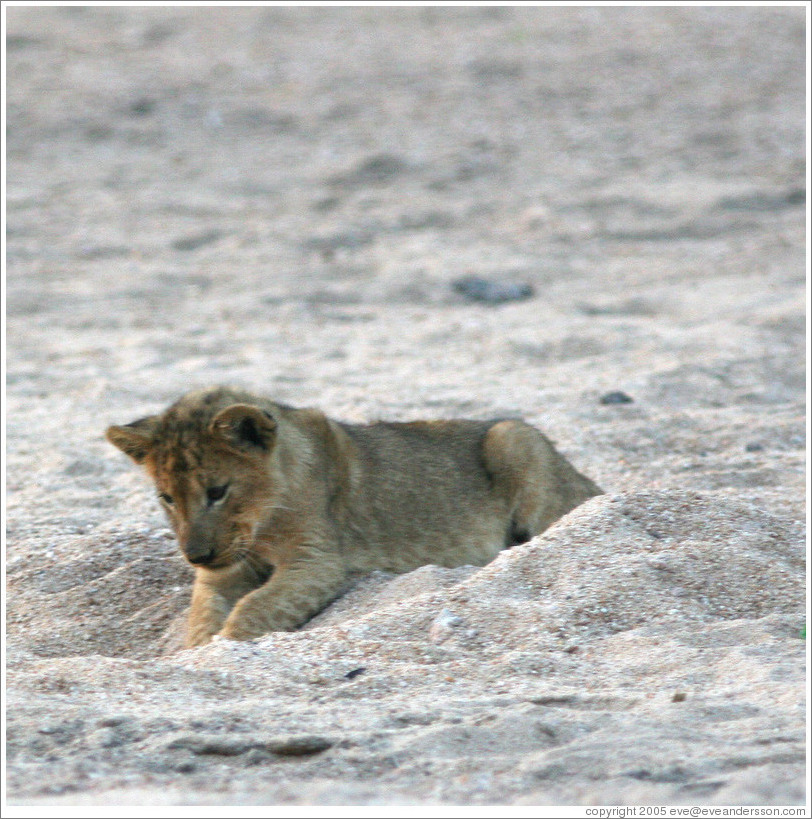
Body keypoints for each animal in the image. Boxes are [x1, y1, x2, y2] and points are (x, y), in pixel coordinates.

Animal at [106, 387, 602, 646]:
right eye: (167, 498)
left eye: (217, 492)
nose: (196, 556)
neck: (262, 521)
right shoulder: (221, 573)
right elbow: (203, 618)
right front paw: (196, 654)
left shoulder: (317, 560)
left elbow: (253, 608)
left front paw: (225, 647)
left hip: (515, 438)